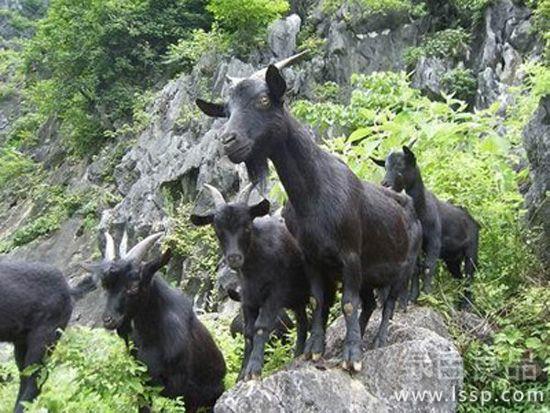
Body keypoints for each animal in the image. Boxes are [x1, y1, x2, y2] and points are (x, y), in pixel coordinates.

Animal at [80, 230, 226, 410]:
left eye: (134, 286)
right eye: (104, 286)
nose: (108, 319)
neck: (150, 336)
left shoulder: (180, 385)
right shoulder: (141, 379)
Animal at [192, 183, 310, 380]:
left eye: (247, 226)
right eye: (217, 230)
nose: (234, 257)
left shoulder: (274, 294)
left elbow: (261, 327)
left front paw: (253, 370)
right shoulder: (248, 299)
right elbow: (248, 333)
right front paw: (241, 374)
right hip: (297, 300)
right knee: (302, 322)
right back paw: (298, 354)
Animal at [374, 145, 480, 306]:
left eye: (400, 164)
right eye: (385, 166)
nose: (385, 183)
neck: (421, 210)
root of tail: (474, 222)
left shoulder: (434, 240)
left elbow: (429, 267)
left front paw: (427, 296)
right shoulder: (417, 243)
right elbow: (416, 268)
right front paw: (413, 297)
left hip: (471, 250)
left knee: (469, 275)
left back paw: (467, 305)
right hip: (452, 260)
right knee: (459, 278)